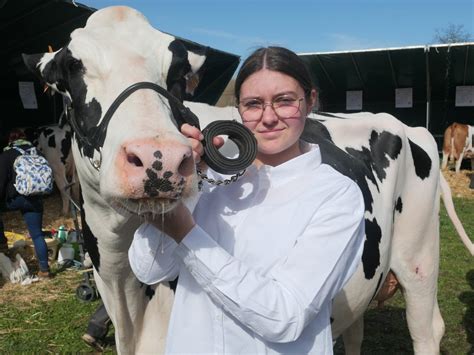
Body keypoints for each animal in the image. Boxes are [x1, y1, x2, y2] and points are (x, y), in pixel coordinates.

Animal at [23, 6, 474, 355]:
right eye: (71, 70)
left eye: (178, 74)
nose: (159, 158)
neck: (127, 294)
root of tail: (410, 127)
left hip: (419, 258)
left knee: (426, 329)